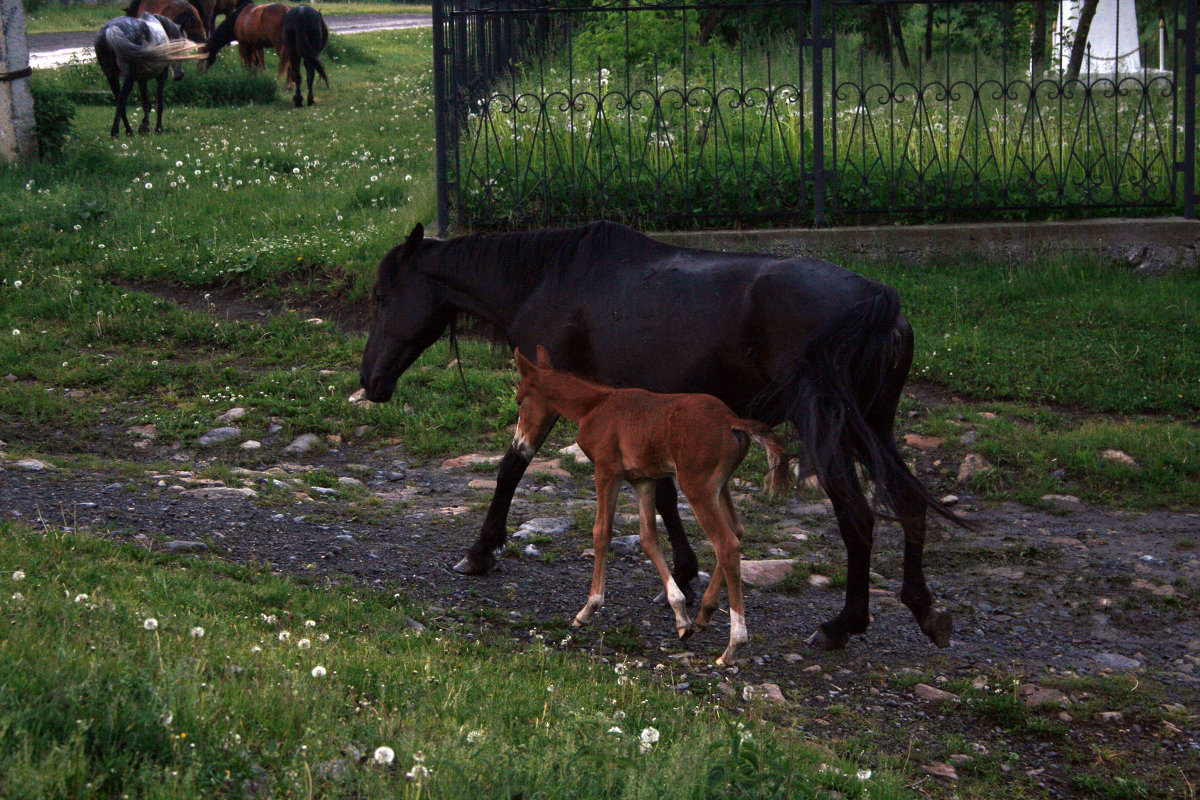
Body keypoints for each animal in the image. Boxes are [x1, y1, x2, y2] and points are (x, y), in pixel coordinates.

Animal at [513, 347, 787, 666]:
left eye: (520, 401)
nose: (519, 446)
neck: (594, 406)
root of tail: (733, 420)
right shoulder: (642, 479)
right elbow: (648, 538)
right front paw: (681, 615)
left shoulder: (607, 471)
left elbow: (602, 532)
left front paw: (588, 609)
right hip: (721, 486)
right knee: (737, 531)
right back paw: (704, 614)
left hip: (697, 487)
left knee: (727, 543)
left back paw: (733, 645)